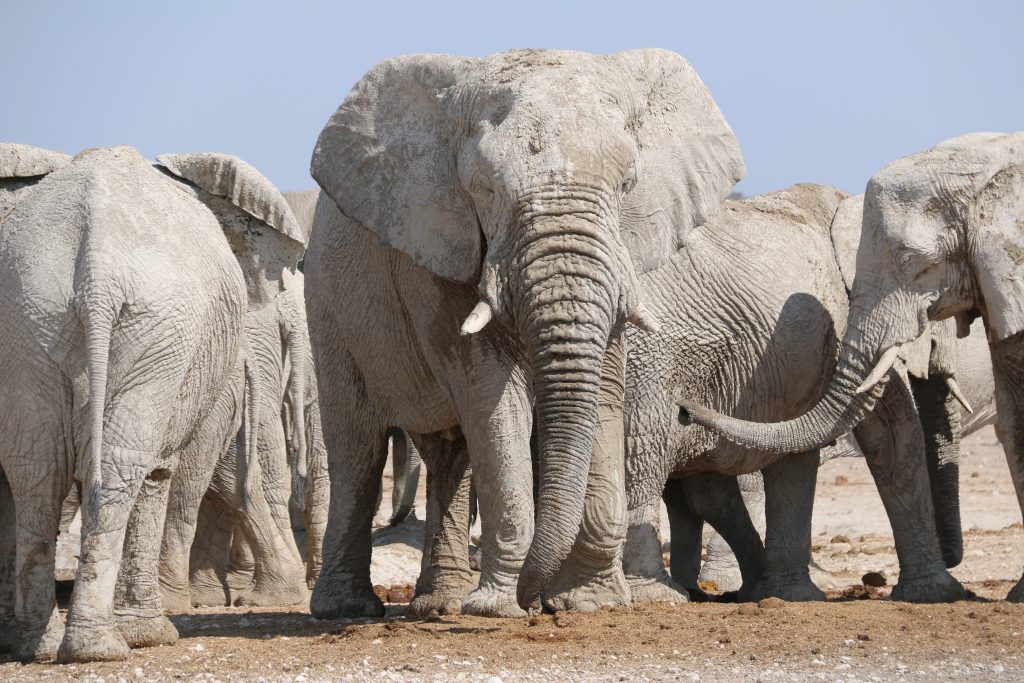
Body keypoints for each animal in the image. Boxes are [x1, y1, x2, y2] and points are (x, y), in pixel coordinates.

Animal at [0, 144, 307, 662]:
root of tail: (96, 263)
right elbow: (168, 469)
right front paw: (150, 634)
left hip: (32, 316)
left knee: (37, 469)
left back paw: (38, 645)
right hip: (155, 326)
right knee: (121, 465)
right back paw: (100, 647)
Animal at [304, 48, 744, 618]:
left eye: (627, 184)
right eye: (486, 190)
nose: (538, 604)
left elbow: (603, 387)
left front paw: (590, 603)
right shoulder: (441, 247)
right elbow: (493, 393)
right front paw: (499, 608)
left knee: (449, 456)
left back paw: (439, 604)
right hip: (326, 300)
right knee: (358, 450)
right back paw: (349, 610)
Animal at [623, 184, 965, 603]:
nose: (685, 407)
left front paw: (783, 595)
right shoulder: (842, 316)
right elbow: (894, 427)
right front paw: (937, 592)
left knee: (703, 488)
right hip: (648, 360)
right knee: (646, 457)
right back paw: (657, 595)